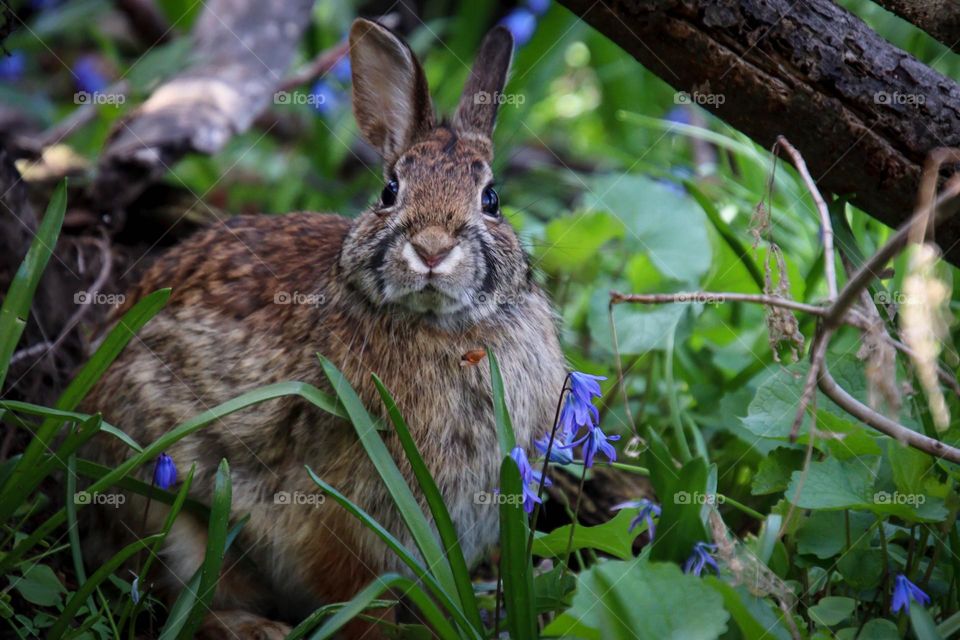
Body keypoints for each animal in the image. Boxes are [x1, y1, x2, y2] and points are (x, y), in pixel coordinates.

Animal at [80, 17, 567, 640]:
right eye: (389, 192)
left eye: (492, 199)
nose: (432, 248)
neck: (444, 328)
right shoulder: (347, 518)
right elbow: (360, 598)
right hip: (169, 506)